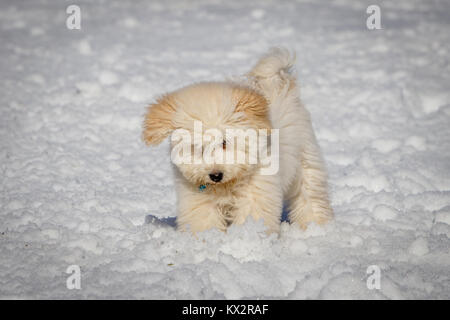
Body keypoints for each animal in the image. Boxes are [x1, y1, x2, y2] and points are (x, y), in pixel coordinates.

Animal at [142, 47, 332, 234]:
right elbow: (204, 221)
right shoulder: (198, 198)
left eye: (224, 142)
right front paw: (208, 238)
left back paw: (315, 226)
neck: (227, 185)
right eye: (198, 147)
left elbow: (253, 215)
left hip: (305, 159)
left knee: (309, 196)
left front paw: (248, 236)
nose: (215, 175)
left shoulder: (257, 191)